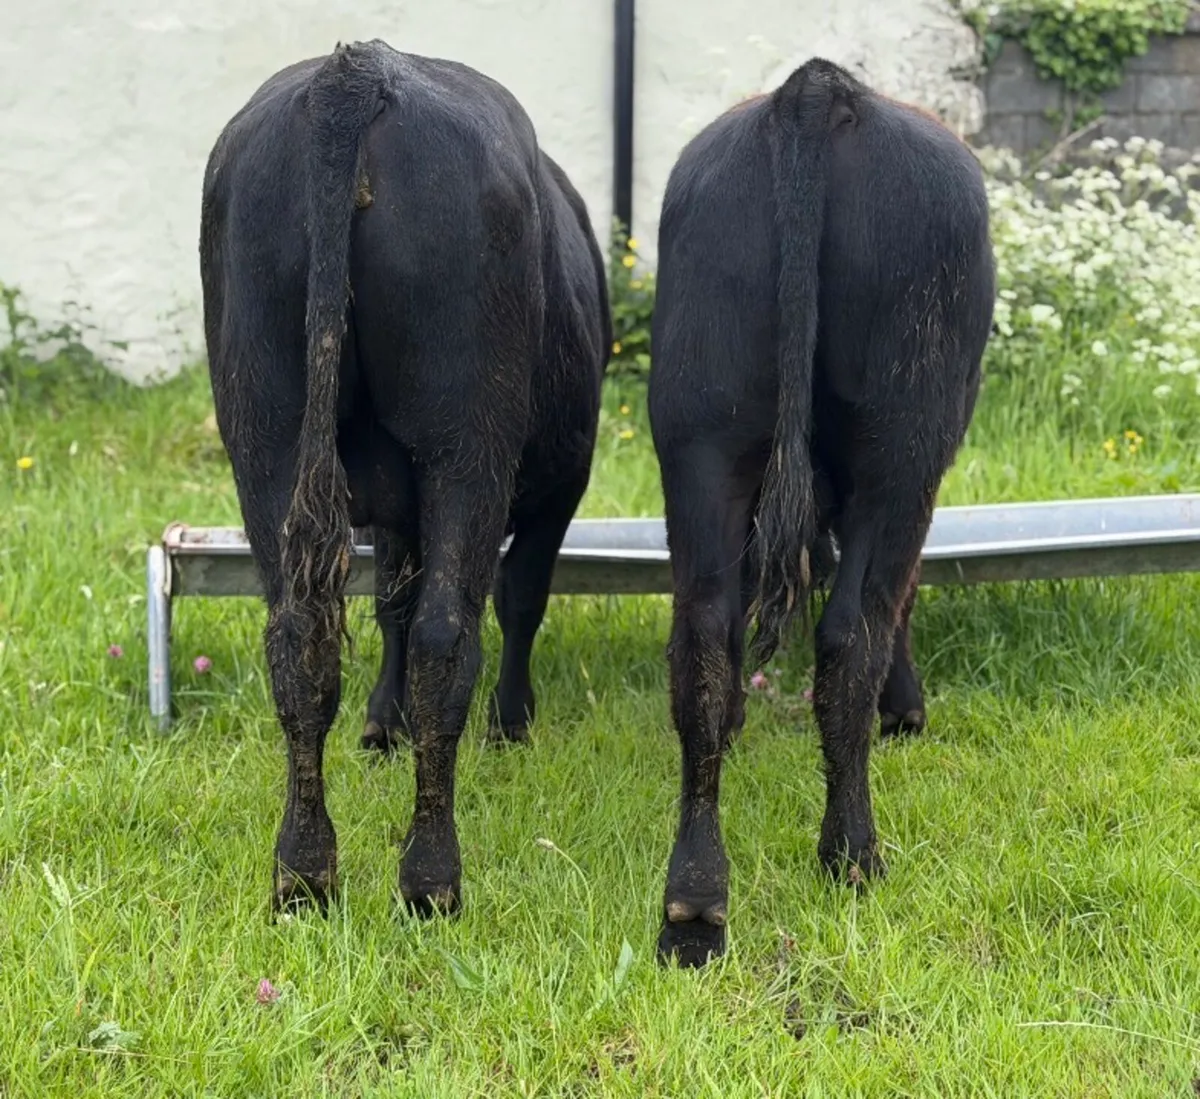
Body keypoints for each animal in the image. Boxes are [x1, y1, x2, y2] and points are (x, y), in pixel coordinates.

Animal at [200, 40, 609, 916]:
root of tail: (355, 72)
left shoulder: (387, 511)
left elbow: (387, 599)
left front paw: (380, 725)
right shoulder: (564, 481)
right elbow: (518, 597)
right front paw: (512, 724)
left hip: (264, 436)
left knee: (299, 641)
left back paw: (304, 872)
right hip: (468, 445)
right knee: (446, 638)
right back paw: (431, 878)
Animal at [647, 58, 994, 967]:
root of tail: (818, 93)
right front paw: (905, 708)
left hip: (702, 433)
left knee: (704, 636)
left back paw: (695, 902)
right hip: (903, 443)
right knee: (850, 634)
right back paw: (853, 852)